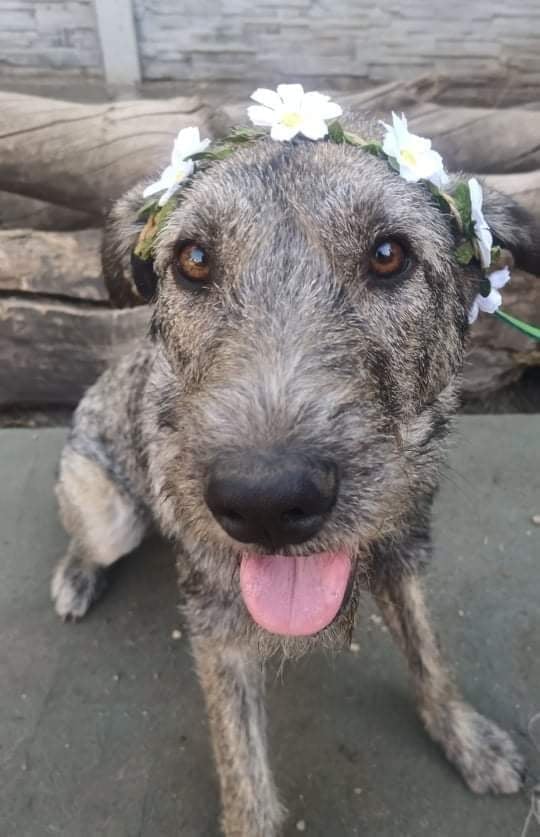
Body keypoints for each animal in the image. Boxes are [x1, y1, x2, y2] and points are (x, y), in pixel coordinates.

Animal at [49, 112, 536, 836]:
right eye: (194, 259)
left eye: (388, 254)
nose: (265, 503)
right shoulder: (219, 625)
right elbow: (244, 772)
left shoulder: (402, 550)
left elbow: (430, 656)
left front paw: (466, 738)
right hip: (107, 508)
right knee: (90, 536)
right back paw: (77, 575)